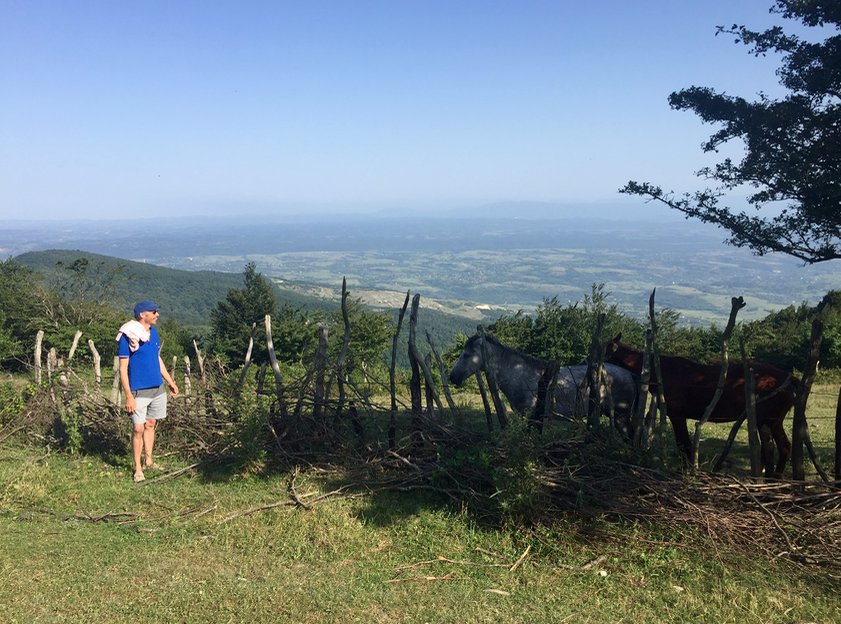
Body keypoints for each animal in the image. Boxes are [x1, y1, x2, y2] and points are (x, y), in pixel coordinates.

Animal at [446, 332, 636, 434]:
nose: (452, 377)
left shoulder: (534, 416)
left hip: (621, 416)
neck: (521, 374)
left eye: (467, 355)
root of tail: (631, 375)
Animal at [604, 334, 796, 476]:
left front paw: (686, 470)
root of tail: (791, 381)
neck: (659, 370)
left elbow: (684, 443)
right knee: (784, 447)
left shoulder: (677, 414)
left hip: (767, 421)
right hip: (774, 422)